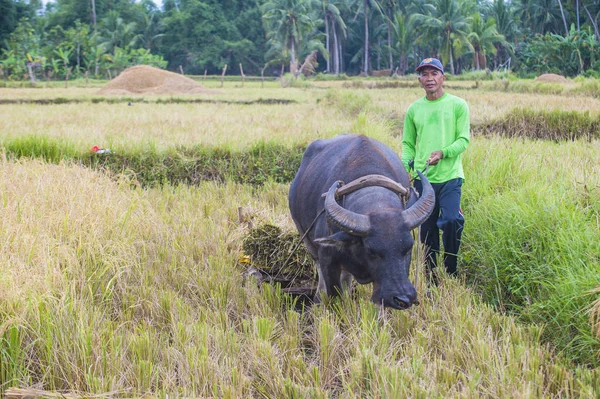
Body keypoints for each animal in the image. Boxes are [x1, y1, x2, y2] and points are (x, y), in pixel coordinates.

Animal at [288, 134, 434, 310]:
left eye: (408, 248)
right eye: (372, 251)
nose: (403, 298)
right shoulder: (327, 257)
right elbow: (334, 295)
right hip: (306, 239)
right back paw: (317, 300)